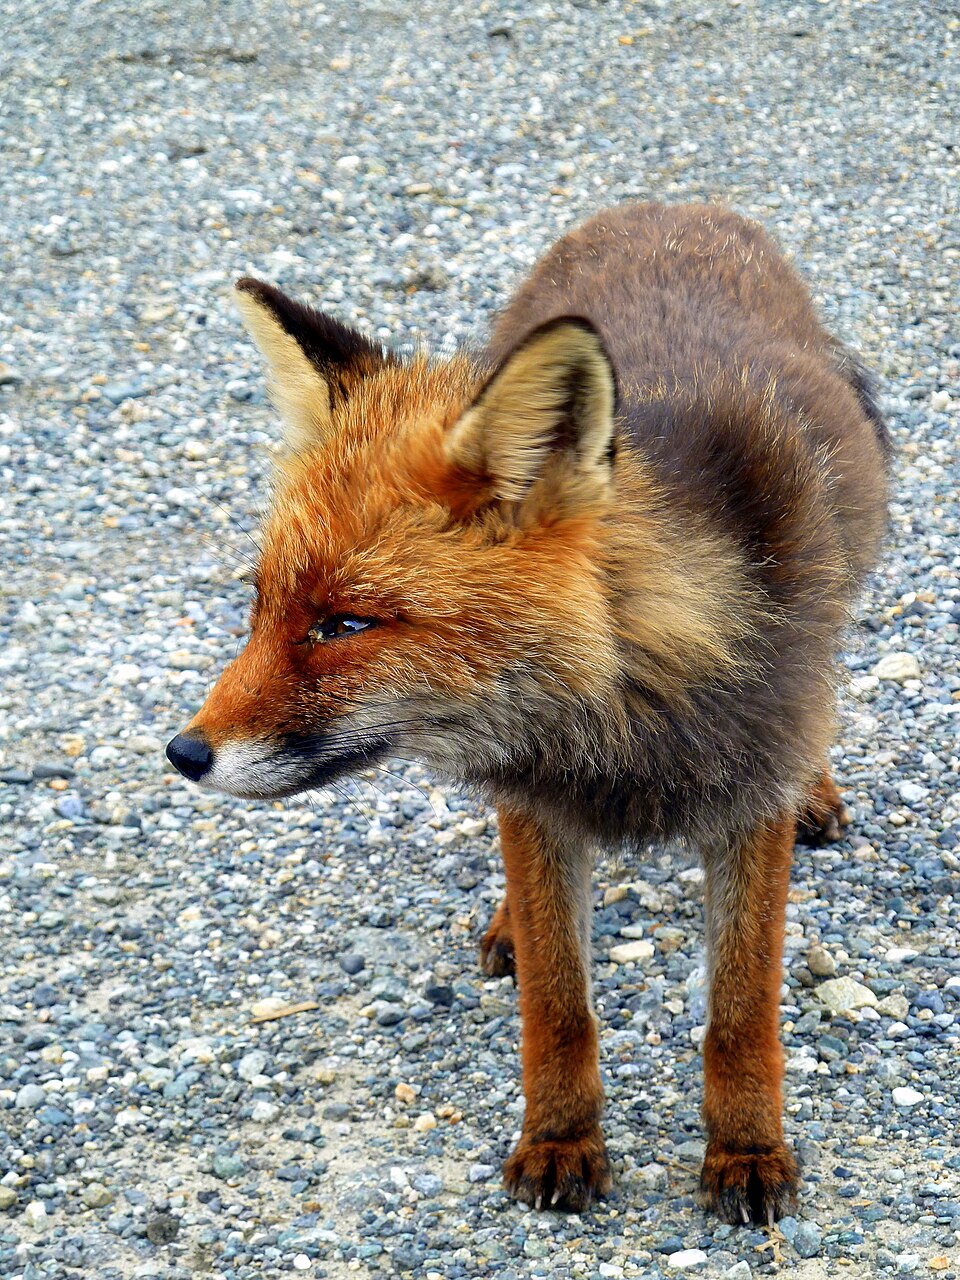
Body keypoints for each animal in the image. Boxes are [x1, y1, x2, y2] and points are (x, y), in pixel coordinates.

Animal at [165, 202, 890, 1223]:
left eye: (345, 624)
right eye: (260, 606)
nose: (183, 752)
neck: (625, 711)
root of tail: (669, 206)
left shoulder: (749, 795)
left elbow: (742, 1010)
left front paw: (747, 1149)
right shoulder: (536, 798)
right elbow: (557, 1003)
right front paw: (559, 1140)